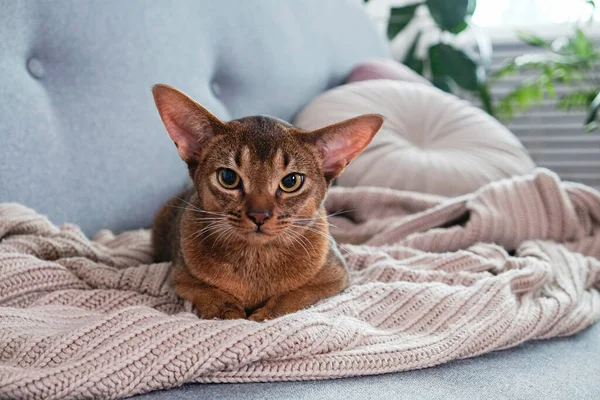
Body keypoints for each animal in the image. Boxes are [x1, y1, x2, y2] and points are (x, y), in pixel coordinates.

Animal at [150, 84, 384, 322]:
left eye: (291, 181)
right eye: (228, 177)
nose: (259, 215)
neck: (256, 258)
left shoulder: (337, 277)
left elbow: (295, 296)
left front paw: (263, 315)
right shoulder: (180, 276)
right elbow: (207, 291)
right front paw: (228, 312)